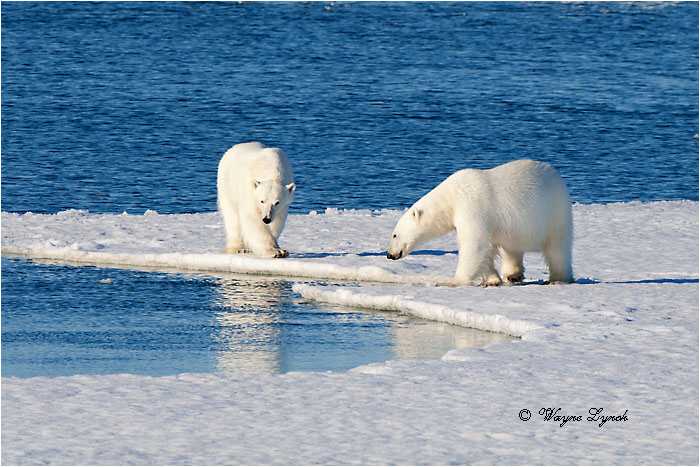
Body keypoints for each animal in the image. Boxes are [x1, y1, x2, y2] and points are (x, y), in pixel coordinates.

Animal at [386, 159, 573, 286]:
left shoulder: (472, 206)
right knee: (511, 248)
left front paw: (451, 282)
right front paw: (492, 280)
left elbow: (473, 244)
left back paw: (557, 279)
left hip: (555, 211)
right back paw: (512, 274)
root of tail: (557, 176)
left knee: (557, 248)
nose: (389, 254)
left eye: (394, 234)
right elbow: (486, 248)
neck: (451, 197)